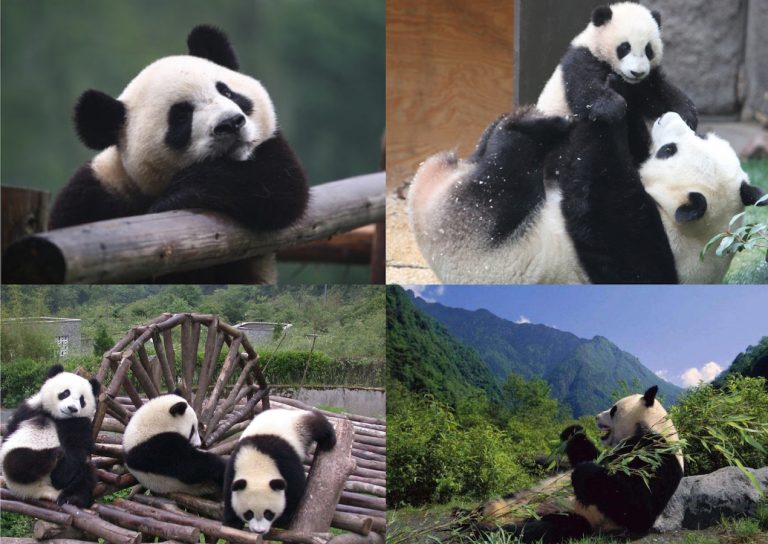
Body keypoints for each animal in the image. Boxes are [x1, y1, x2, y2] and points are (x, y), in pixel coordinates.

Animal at [0, 365, 100, 506]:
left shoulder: (78, 424)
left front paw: (61, 476)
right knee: (17, 462)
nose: (72, 408)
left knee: (87, 473)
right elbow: (9, 433)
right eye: (65, 393)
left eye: (82, 400)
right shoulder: (29, 410)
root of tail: (41, 491)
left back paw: (74, 497)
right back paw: (51, 456)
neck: (55, 418)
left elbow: (75, 454)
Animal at [48, 25, 309, 282]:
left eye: (227, 92)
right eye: (181, 116)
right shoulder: (95, 192)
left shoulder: (269, 152)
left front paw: (174, 199)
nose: (230, 123)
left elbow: (276, 187)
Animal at [408, 81, 766, 284]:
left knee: (503, 173)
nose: (668, 117)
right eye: (700, 135)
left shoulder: (646, 252)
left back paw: (531, 126)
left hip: (476, 231)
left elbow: (596, 195)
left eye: (669, 150)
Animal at [474, 386, 683, 543]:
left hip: (568, 514)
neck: (652, 427)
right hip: (516, 496)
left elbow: (639, 507)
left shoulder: (659, 455)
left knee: (543, 528)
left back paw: (485, 530)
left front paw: (584, 473)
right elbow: (589, 455)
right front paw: (573, 431)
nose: (596, 417)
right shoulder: (612, 451)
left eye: (613, 410)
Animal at [537, 2, 697, 164]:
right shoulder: (583, 59)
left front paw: (686, 114)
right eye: (625, 47)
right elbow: (586, 90)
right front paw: (613, 107)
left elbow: (655, 95)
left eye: (648, 50)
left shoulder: (641, 83)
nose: (637, 73)